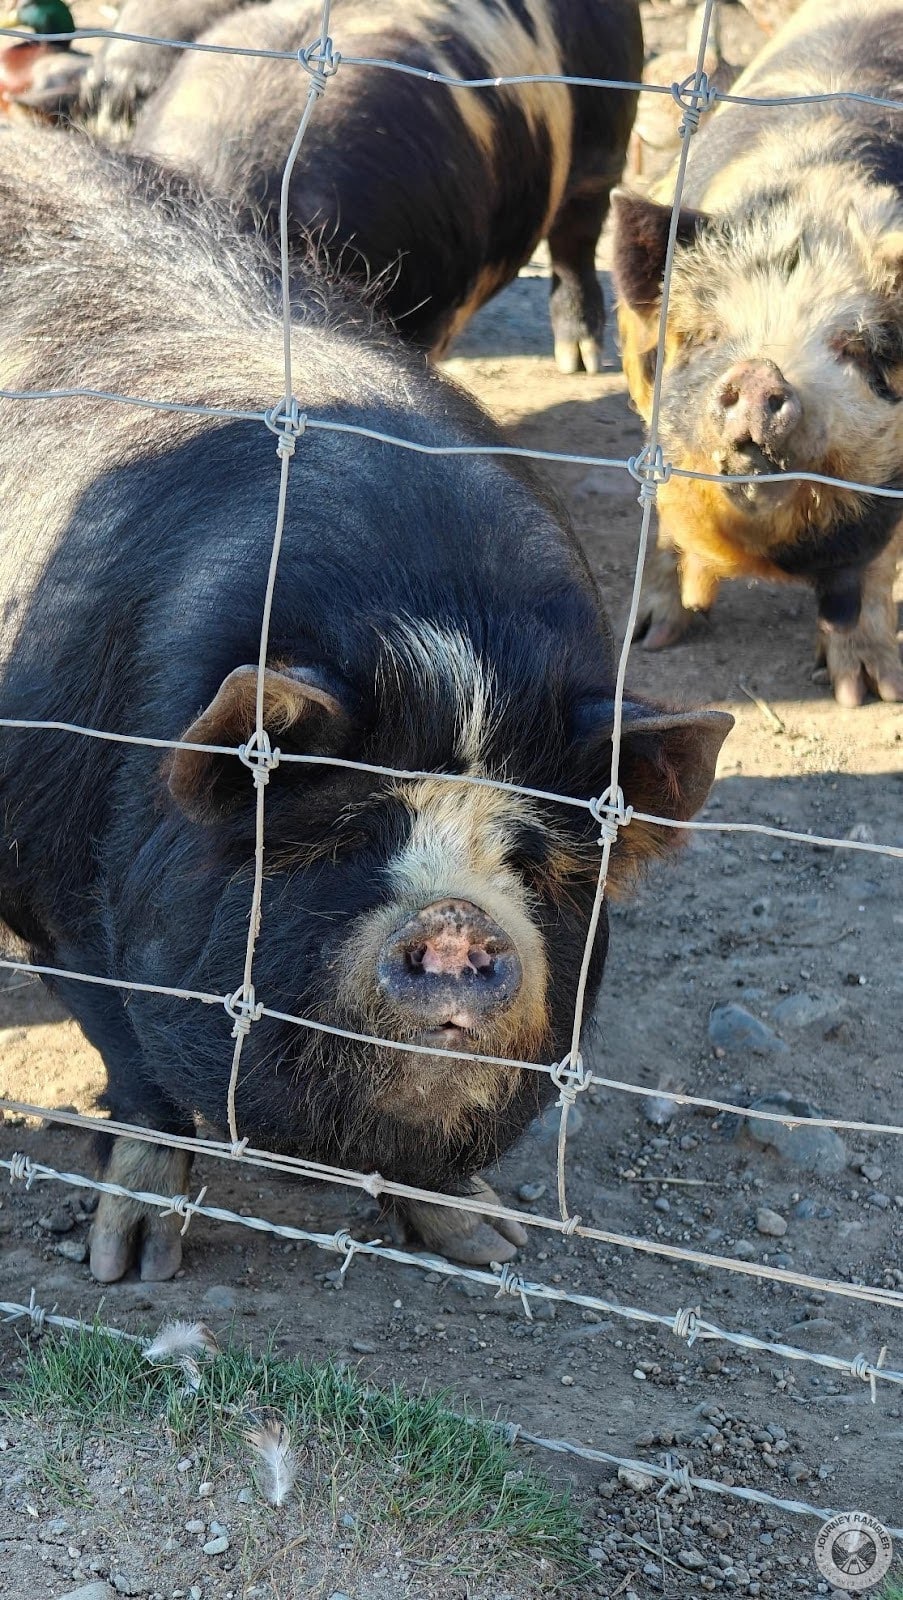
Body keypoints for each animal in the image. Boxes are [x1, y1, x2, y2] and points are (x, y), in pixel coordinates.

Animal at [0, 124, 730, 1282]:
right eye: (346, 831)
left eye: (530, 860)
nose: (458, 925)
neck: (440, 625)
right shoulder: (60, 903)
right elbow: (143, 1084)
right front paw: (133, 1262)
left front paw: (491, 1244)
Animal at [613, 0, 903, 707]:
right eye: (711, 334)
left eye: (855, 347)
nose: (759, 369)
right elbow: (663, 516)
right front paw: (651, 638)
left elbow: (873, 564)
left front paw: (866, 693)